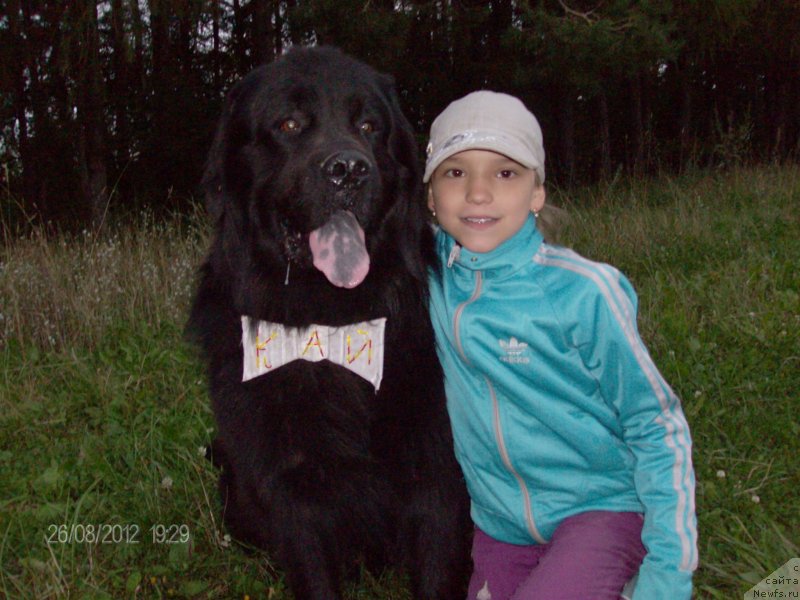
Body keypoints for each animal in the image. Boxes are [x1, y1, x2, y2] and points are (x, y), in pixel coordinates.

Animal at [188, 47, 468, 600]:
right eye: (289, 123)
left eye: (369, 125)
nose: (349, 170)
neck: (332, 326)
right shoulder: (294, 492)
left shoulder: (437, 471)